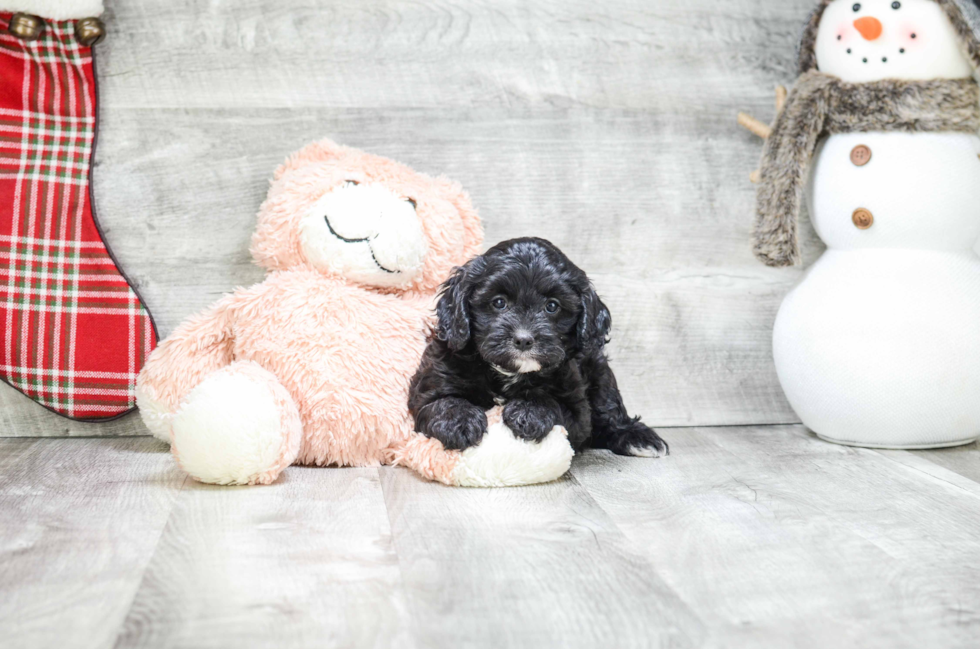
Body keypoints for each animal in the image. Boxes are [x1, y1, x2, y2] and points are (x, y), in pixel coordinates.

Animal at [410, 237, 668, 456]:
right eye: (499, 303)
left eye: (552, 306)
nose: (524, 339)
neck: (508, 373)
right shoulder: (434, 379)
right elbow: (440, 402)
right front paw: (459, 422)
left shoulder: (577, 410)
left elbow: (553, 404)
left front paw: (529, 412)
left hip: (599, 369)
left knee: (610, 408)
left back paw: (637, 438)